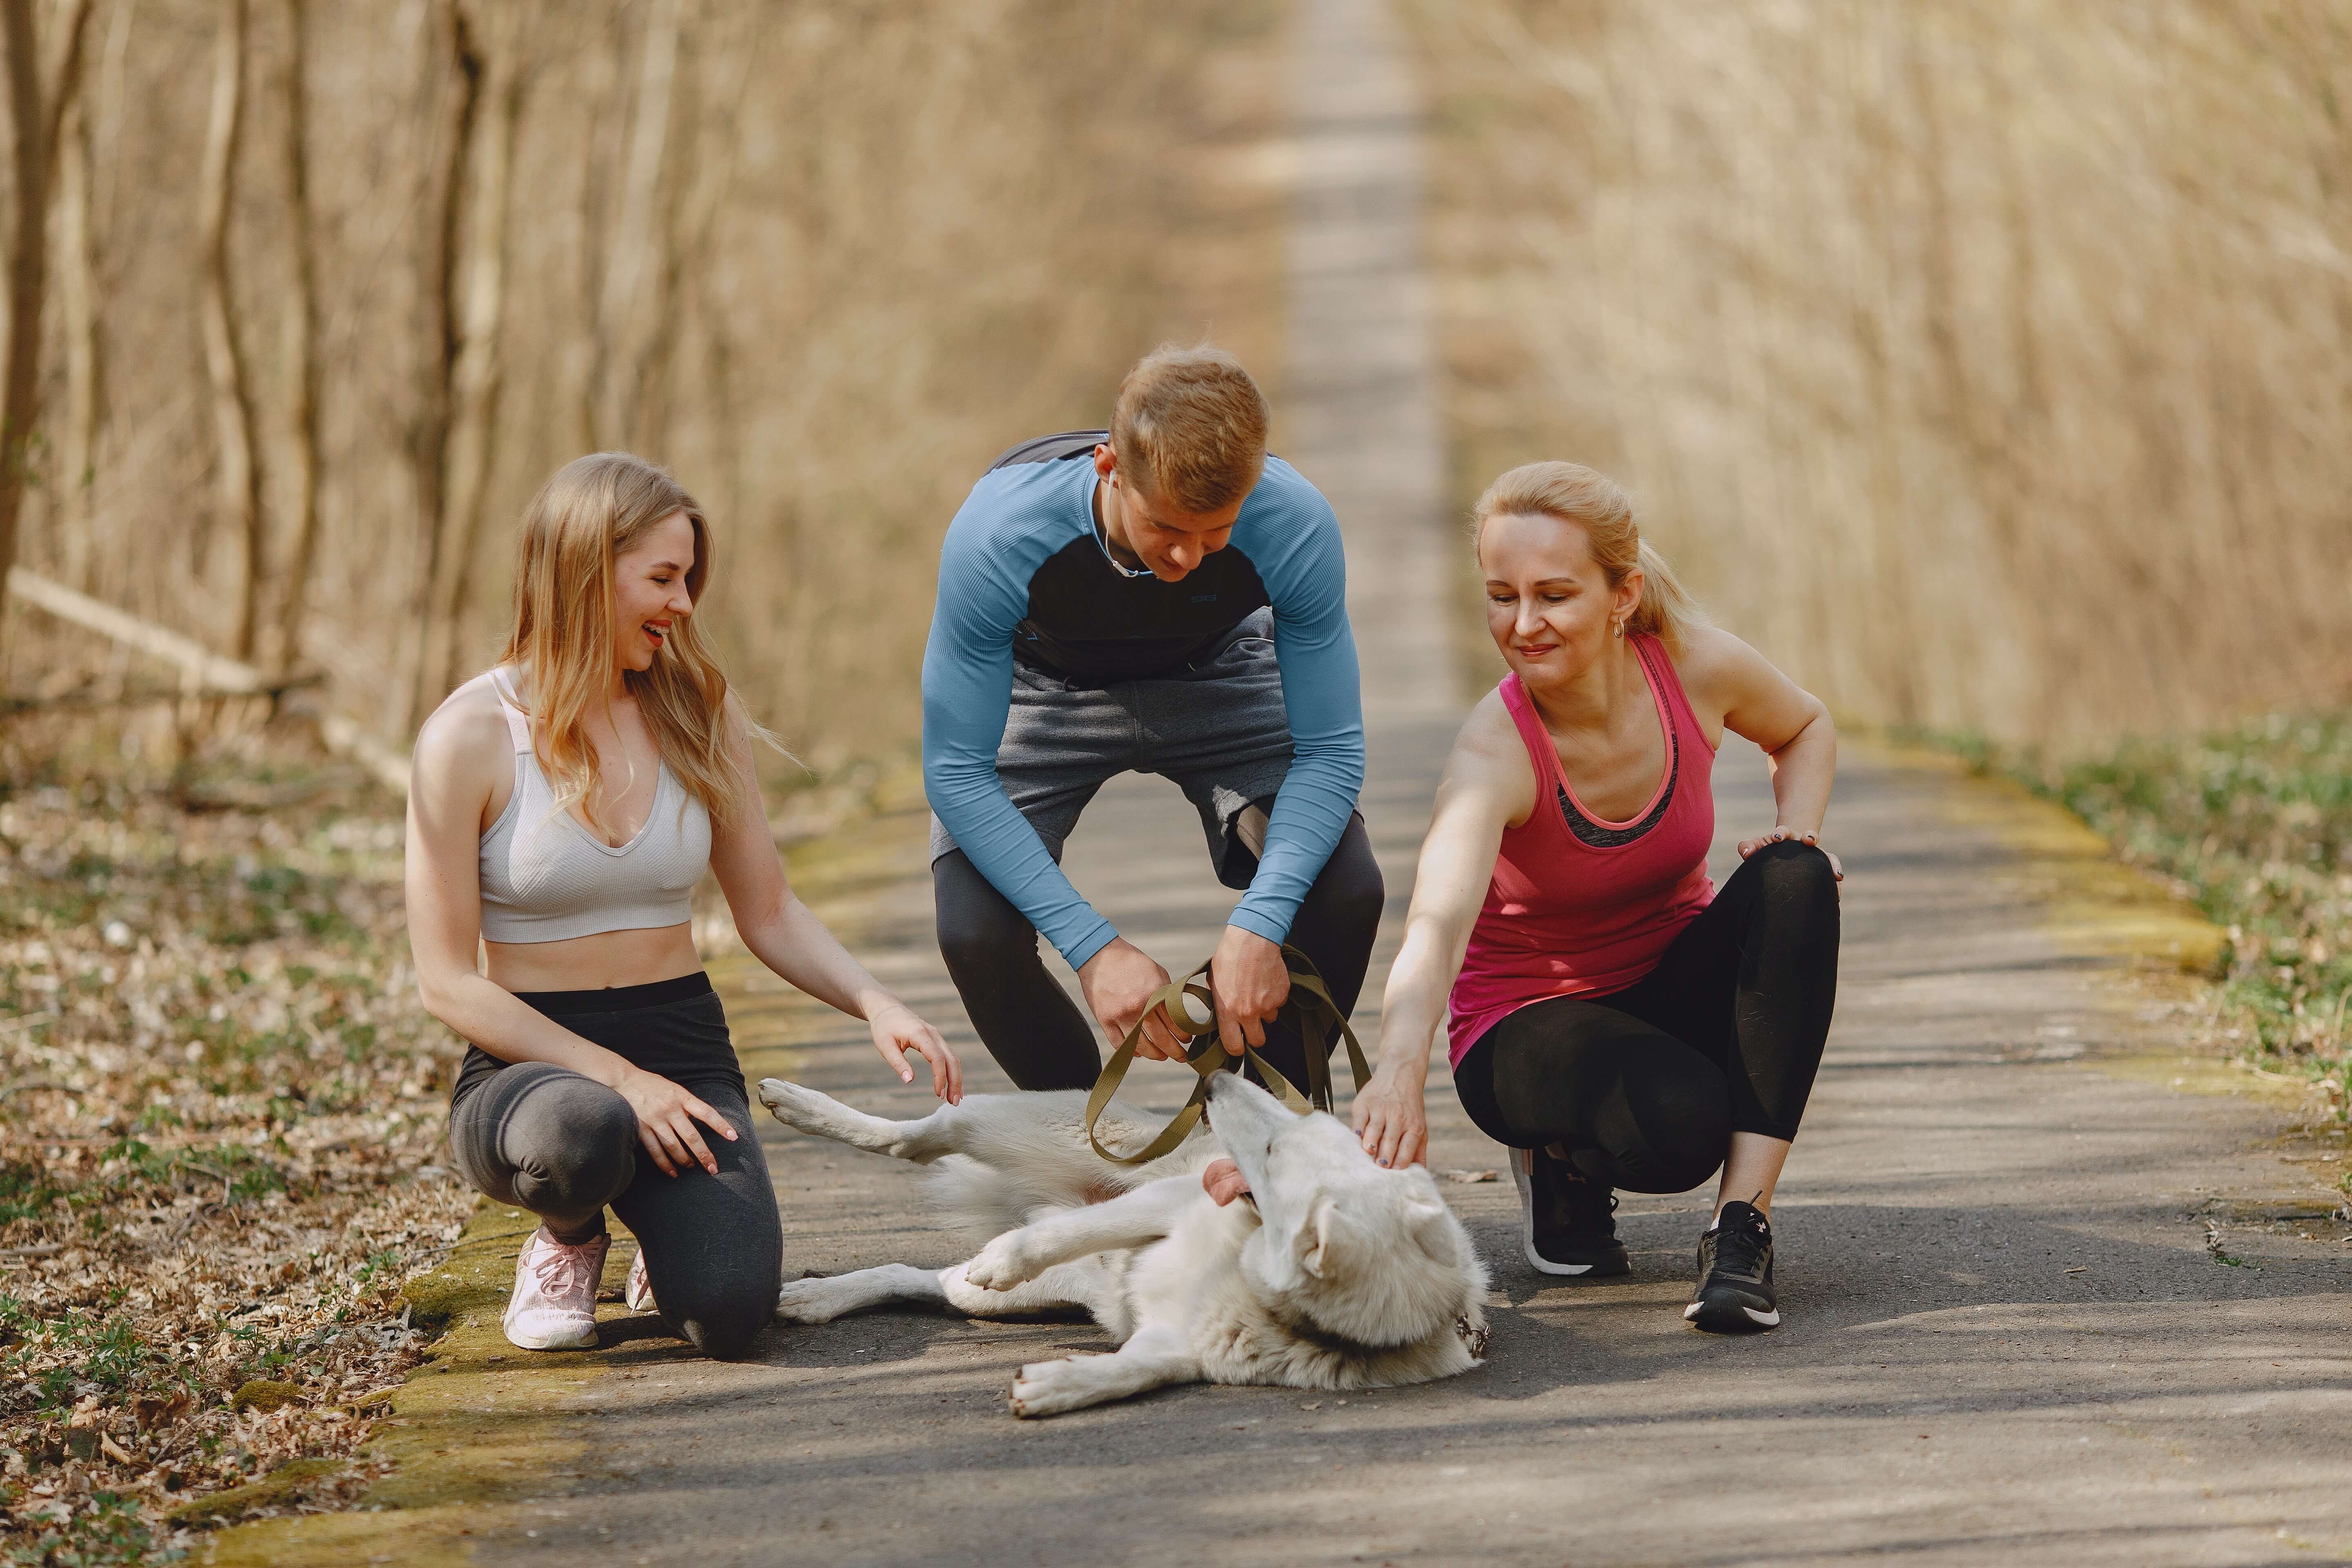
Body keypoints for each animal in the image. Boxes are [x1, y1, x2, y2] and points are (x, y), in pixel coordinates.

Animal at [753, 1072, 1486, 1420]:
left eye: (1276, 1152)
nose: (1215, 1082)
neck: (1253, 1280)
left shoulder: (1177, 1346)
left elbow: (1134, 1371)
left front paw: (1058, 1387)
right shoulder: (1168, 1201)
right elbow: (1080, 1230)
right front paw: (1011, 1255)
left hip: (1002, 1298)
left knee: (920, 1277)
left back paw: (815, 1298)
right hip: (1021, 1126)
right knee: (923, 1135)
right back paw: (799, 1105)